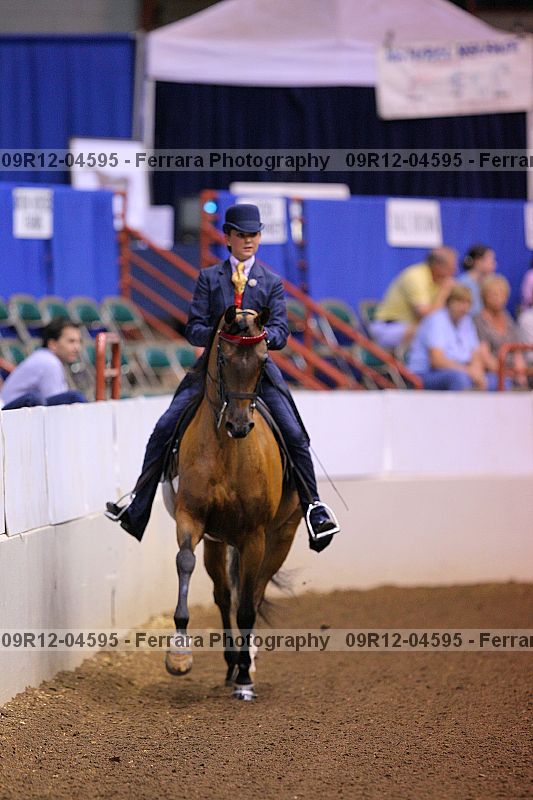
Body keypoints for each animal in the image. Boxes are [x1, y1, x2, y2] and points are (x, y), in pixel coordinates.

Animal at [163, 305, 302, 700]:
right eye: (223, 357)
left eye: (263, 359)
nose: (239, 426)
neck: (227, 451)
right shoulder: (192, 518)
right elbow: (185, 562)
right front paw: (179, 654)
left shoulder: (254, 535)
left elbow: (248, 607)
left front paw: (244, 679)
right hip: (218, 542)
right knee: (224, 595)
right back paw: (230, 663)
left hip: (281, 537)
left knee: (254, 594)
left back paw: (245, 664)